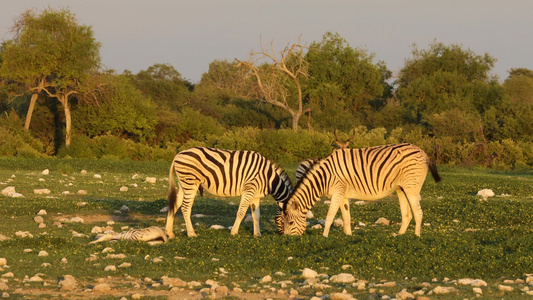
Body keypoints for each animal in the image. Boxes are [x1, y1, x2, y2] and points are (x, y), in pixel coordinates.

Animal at [280, 143, 438, 237]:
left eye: (290, 223)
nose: (287, 240)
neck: (325, 178)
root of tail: (422, 151)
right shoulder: (343, 195)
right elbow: (346, 217)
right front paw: (348, 236)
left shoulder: (337, 192)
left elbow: (330, 216)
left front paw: (324, 237)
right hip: (401, 188)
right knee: (407, 214)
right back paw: (399, 235)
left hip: (412, 188)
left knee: (418, 213)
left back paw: (416, 236)